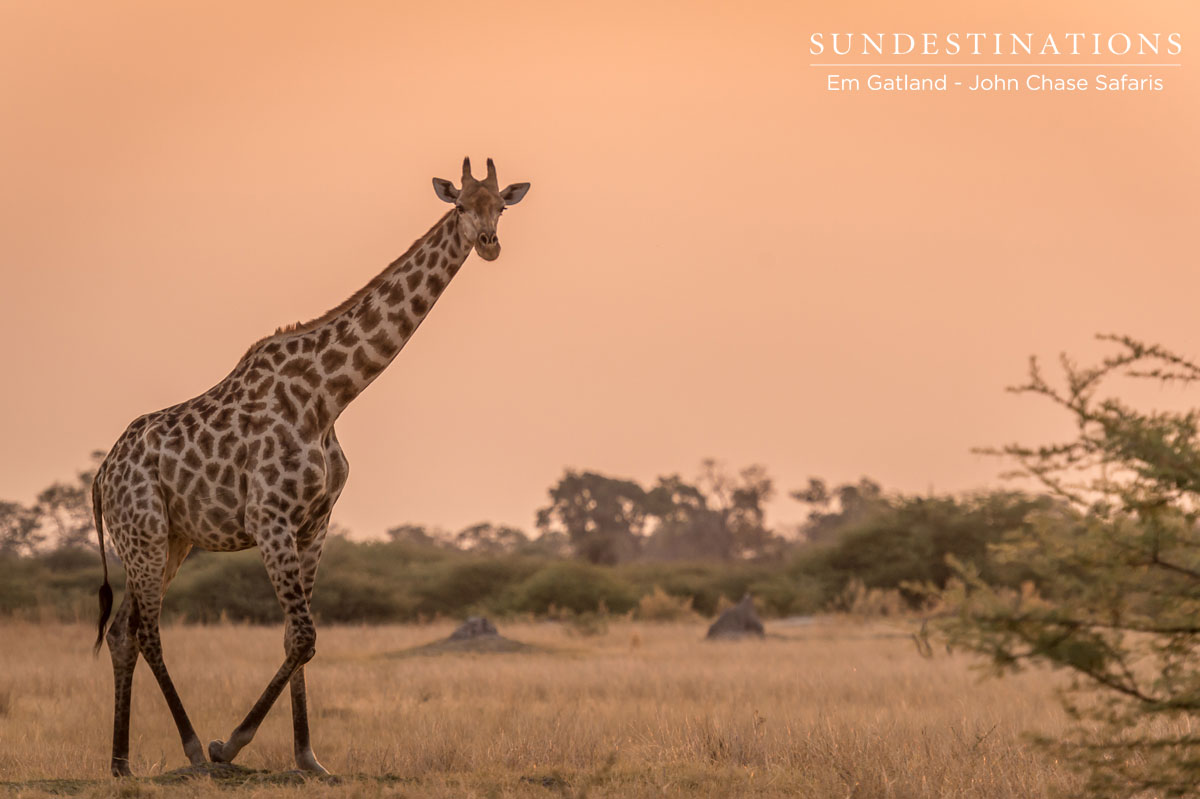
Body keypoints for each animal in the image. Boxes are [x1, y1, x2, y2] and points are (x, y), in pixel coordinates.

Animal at [88, 155, 530, 772]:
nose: (488, 244)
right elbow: (303, 636)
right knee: (147, 630)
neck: (330, 396)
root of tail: (102, 475)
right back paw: (195, 749)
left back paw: (121, 763)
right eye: (461, 205)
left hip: (170, 540)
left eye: (501, 207)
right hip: (144, 534)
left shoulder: (314, 522)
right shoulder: (269, 517)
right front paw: (232, 743)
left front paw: (308, 758)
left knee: (122, 631)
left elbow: (295, 638)